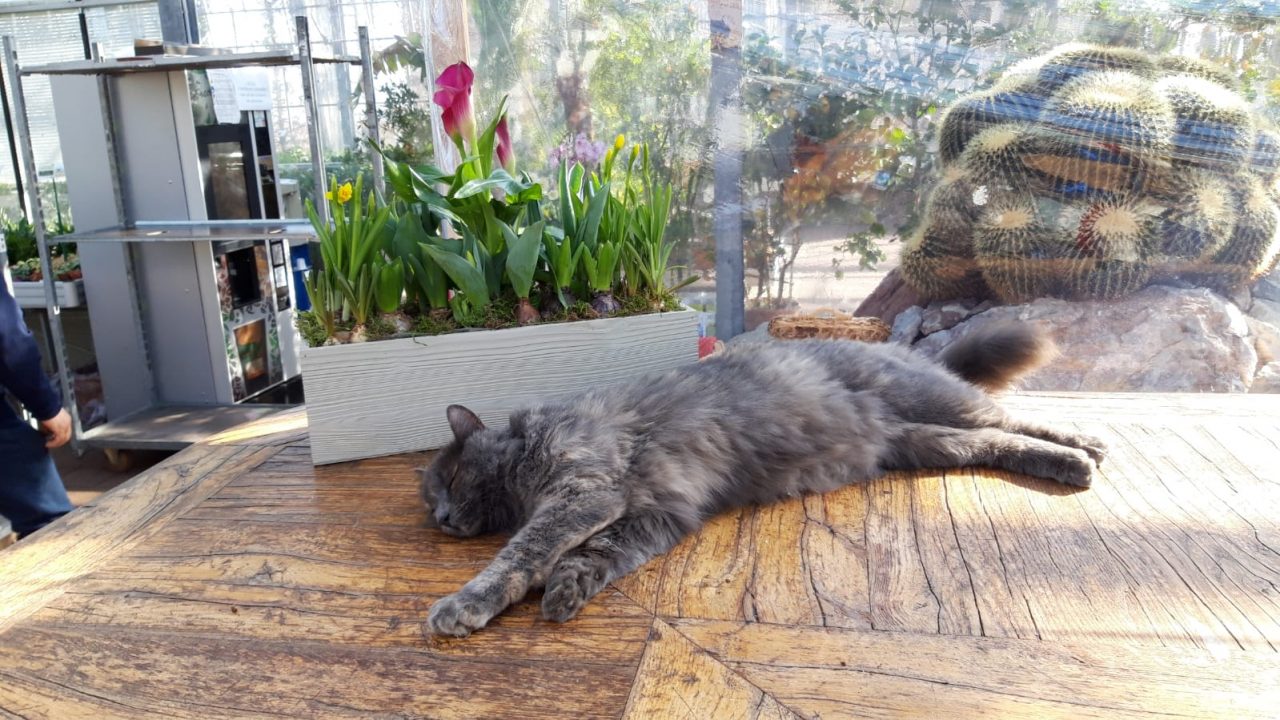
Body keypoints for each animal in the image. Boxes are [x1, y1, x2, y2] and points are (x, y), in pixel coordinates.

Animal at [416, 322, 1105, 637]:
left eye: (448, 481)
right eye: (433, 502)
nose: (440, 520)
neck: (527, 449)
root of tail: (904, 348)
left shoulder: (582, 492)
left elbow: (520, 554)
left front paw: (466, 604)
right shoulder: (652, 514)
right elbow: (593, 557)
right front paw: (566, 591)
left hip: (932, 402)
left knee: (1010, 415)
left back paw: (1086, 446)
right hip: (926, 441)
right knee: (994, 440)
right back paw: (1067, 463)